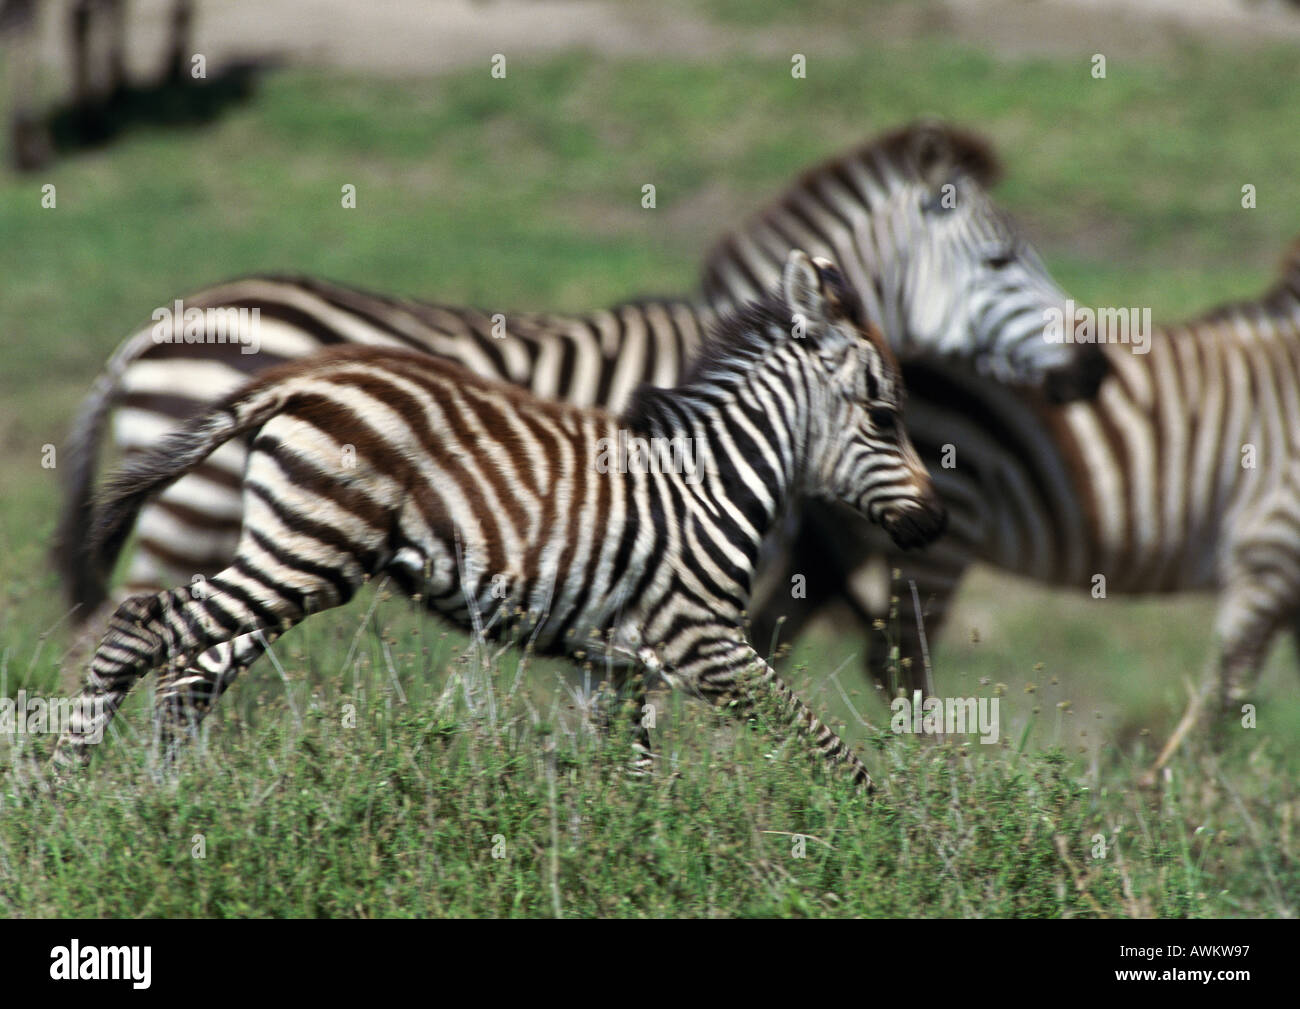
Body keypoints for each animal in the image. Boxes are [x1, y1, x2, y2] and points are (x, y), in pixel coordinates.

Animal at [50, 120, 1097, 722]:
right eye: (1001, 260)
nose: (1090, 366)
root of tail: (153, 329)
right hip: (200, 516)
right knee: (143, 652)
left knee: (176, 662)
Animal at [53, 252, 946, 790]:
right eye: (883, 416)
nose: (934, 523)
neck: (712, 481)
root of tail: (299, 381)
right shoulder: (702, 642)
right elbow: (821, 742)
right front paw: (875, 834)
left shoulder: (617, 664)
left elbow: (631, 778)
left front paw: (622, 857)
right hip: (295, 553)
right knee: (138, 630)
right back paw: (62, 793)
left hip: (290, 555)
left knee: (188, 672)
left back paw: (175, 806)